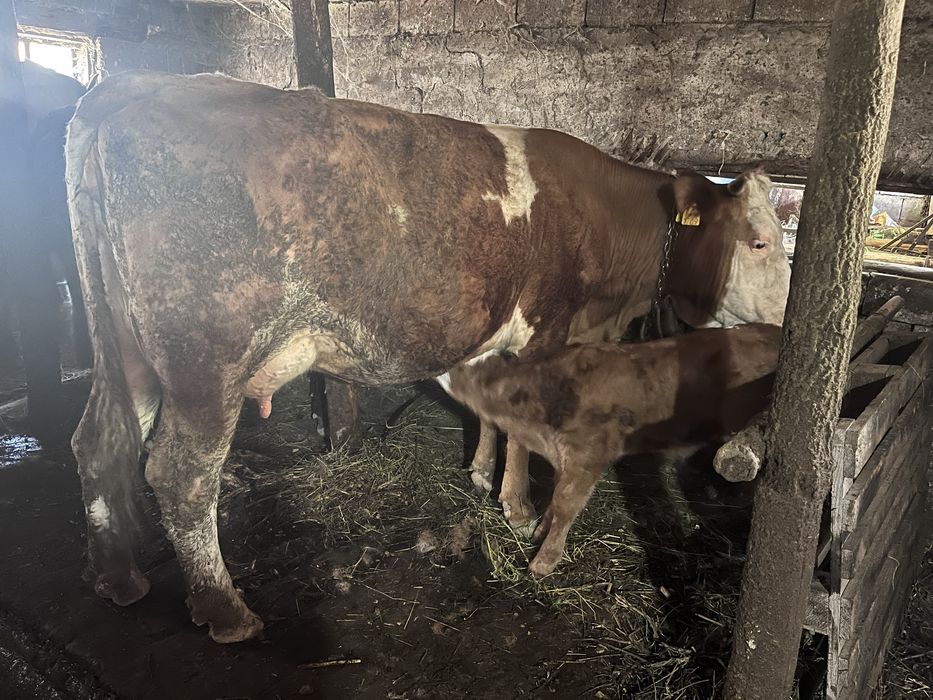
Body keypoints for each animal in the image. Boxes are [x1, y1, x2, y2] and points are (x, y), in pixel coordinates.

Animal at [441, 323, 781, 576]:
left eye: (465, 366)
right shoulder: (564, 457)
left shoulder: (590, 454)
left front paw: (544, 561)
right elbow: (555, 494)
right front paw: (540, 533)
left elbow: (565, 503)